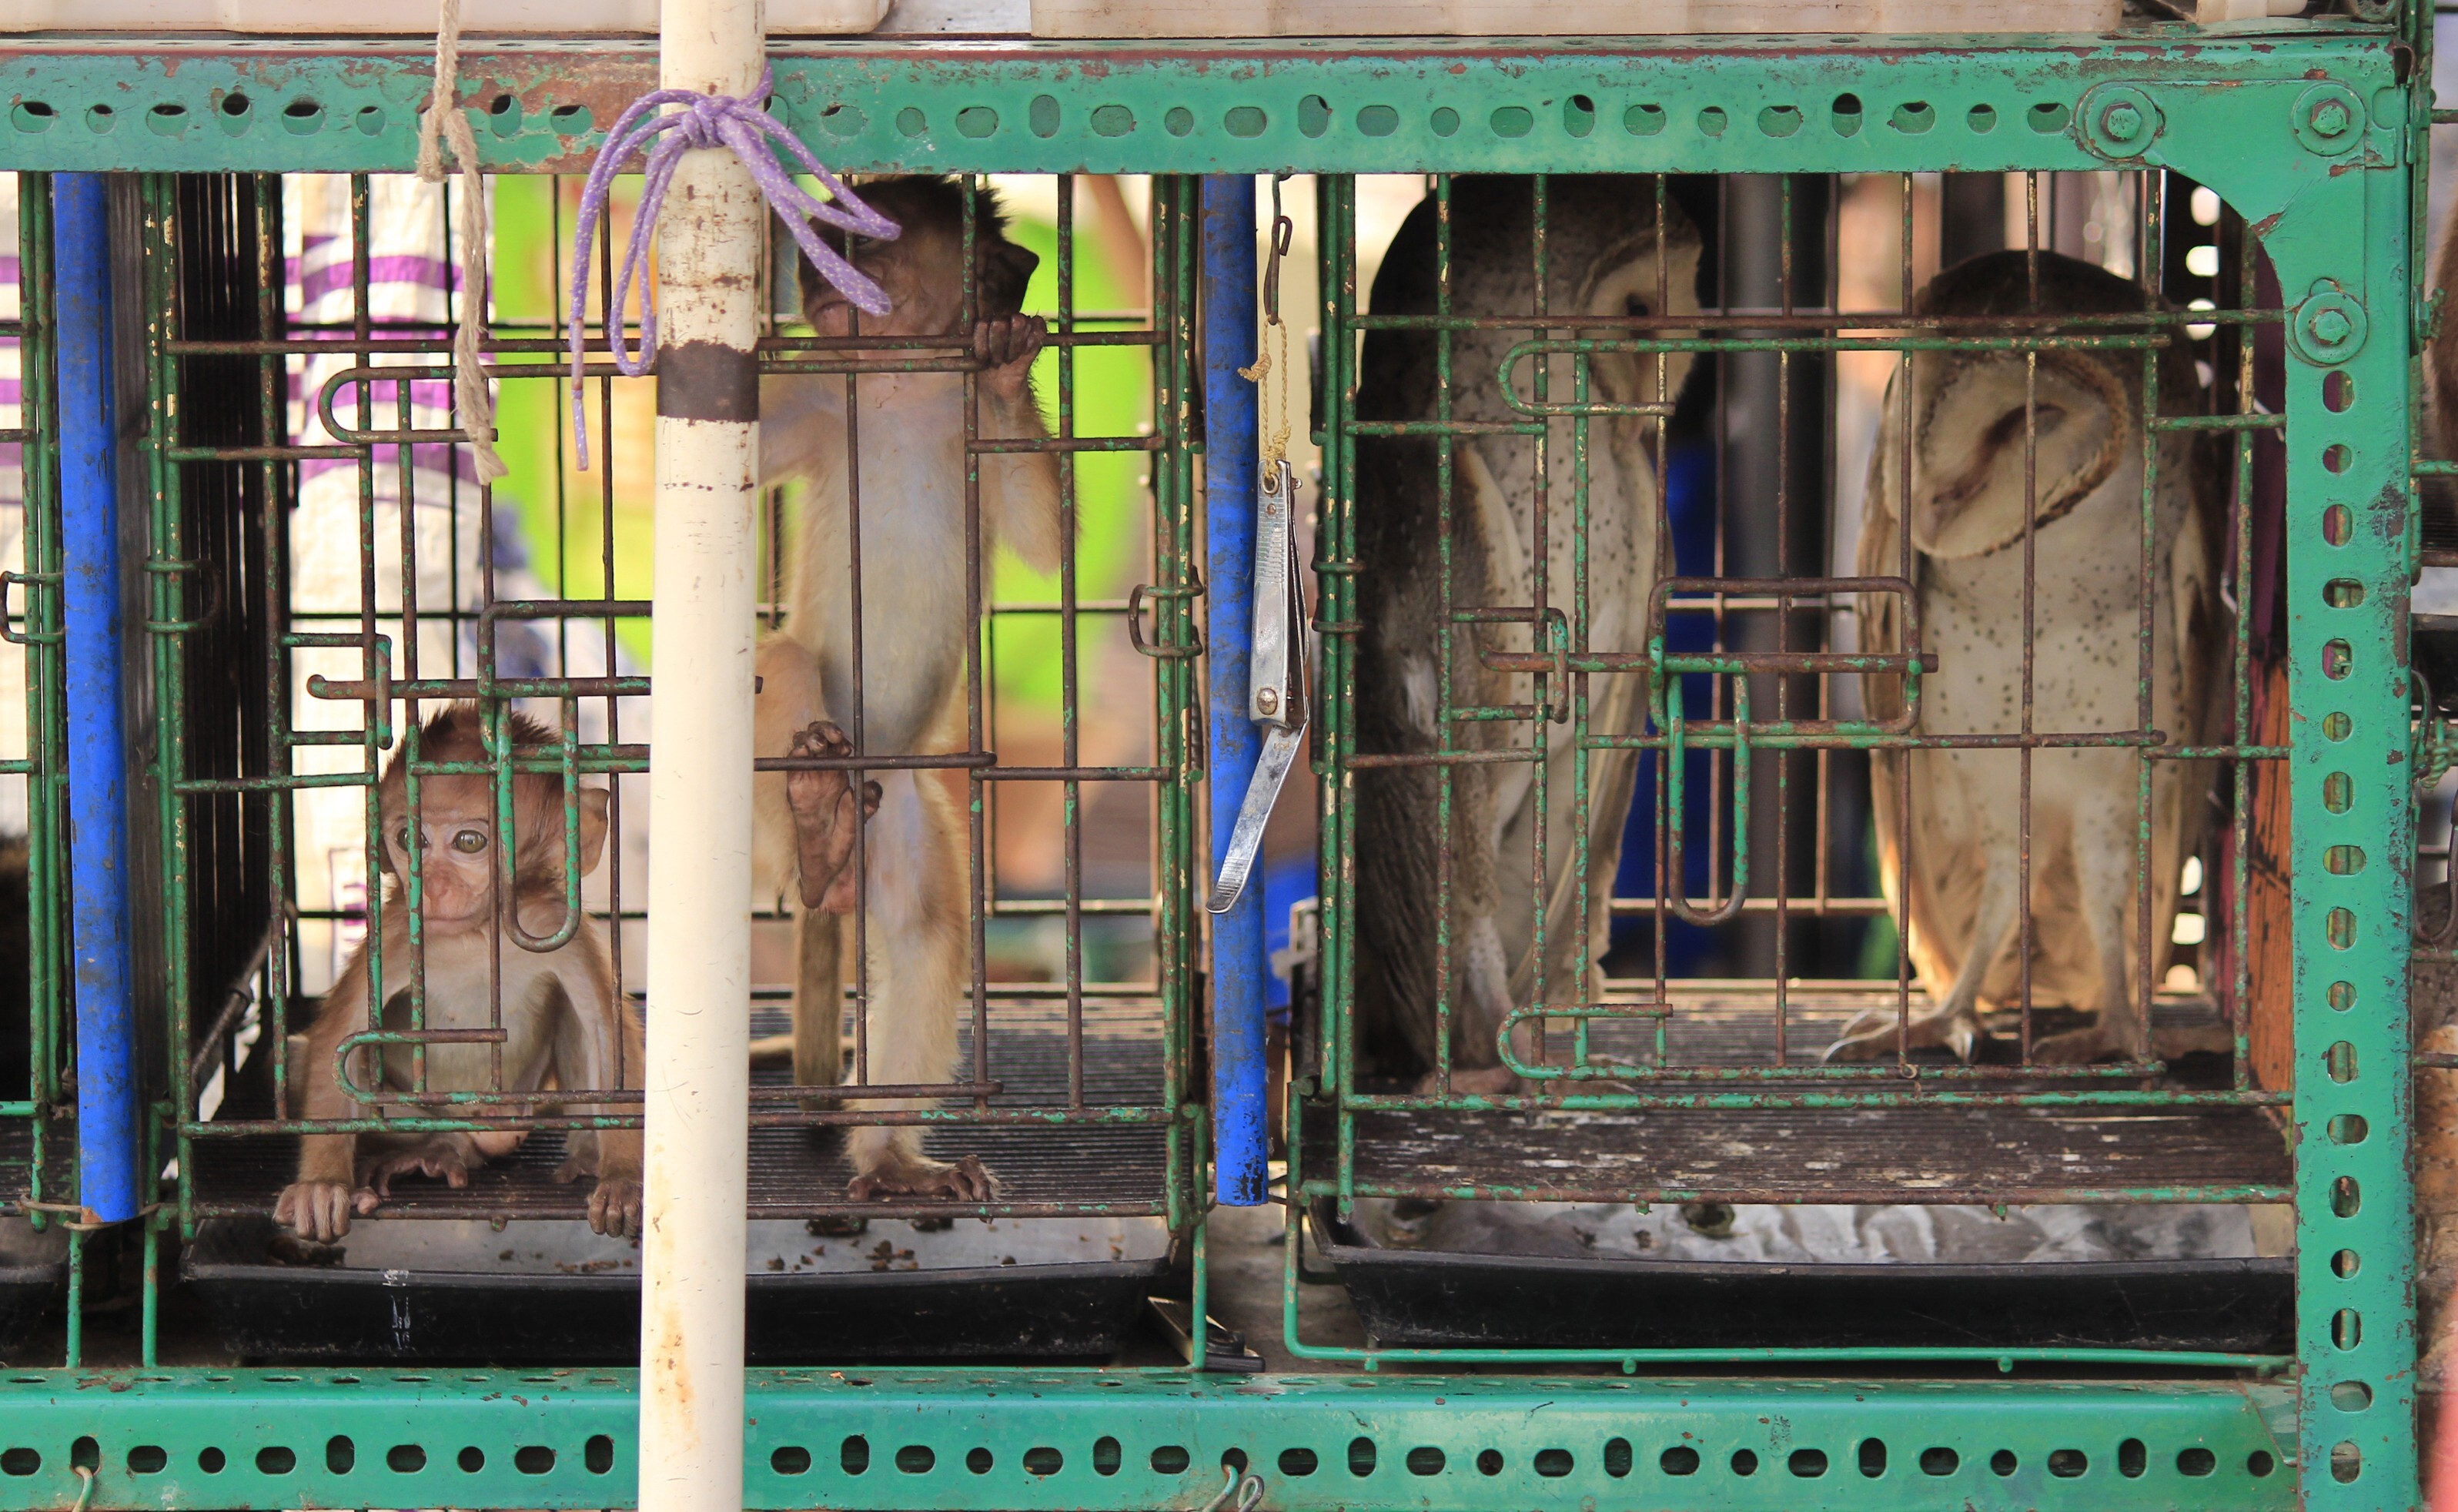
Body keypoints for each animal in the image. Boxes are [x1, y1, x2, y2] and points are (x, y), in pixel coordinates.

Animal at [279, 707, 644, 1243]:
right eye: (410, 840)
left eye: (469, 842)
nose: (430, 887)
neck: (476, 935)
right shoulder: (394, 936)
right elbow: (338, 1043)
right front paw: (322, 1185)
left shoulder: (558, 928)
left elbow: (607, 1037)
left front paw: (622, 1177)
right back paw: (435, 1150)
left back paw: (572, 1154)